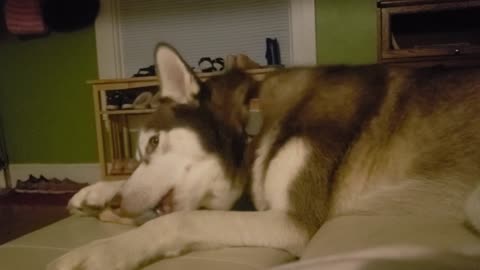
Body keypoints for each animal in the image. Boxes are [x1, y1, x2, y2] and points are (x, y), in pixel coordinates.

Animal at [48, 43, 480, 268]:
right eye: (140, 153)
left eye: (153, 143)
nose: (118, 206)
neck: (253, 130)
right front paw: (96, 195)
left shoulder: (294, 223)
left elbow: (177, 221)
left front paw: (98, 252)